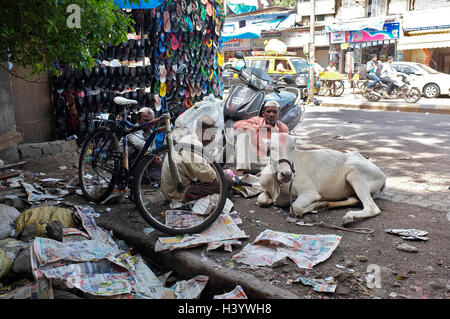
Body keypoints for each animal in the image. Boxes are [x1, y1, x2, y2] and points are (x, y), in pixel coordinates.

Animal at [256, 134, 386, 226]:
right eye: (272, 148)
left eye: (292, 148)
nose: (286, 174)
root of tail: (382, 175)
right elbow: (261, 200)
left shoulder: (310, 193)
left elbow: (295, 209)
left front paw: (313, 205)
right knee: (354, 200)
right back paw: (324, 204)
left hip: (354, 173)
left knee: (372, 207)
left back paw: (348, 216)